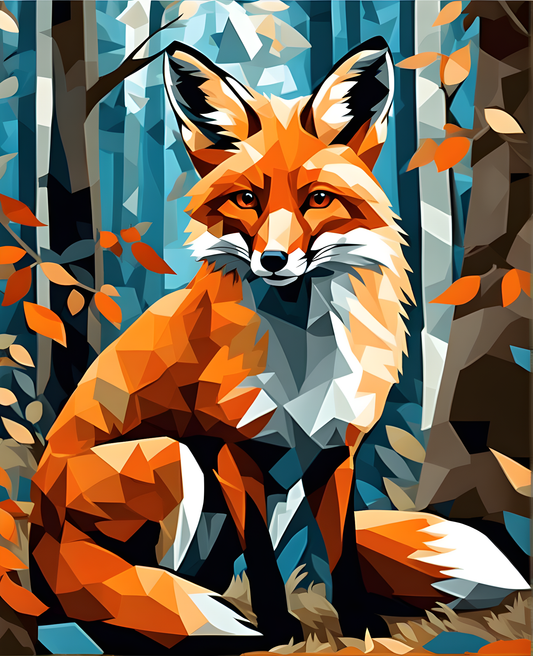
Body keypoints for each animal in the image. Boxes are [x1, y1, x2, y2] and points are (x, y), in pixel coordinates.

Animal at [29, 38, 529, 653]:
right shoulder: (233, 450)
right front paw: (278, 633)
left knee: (200, 579)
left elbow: (342, 555)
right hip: (178, 458)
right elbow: (264, 564)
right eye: (246, 198)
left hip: (265, 493)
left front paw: (362, 630)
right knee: (138, 592)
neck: (302, 357)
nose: (272, 260)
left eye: (318, 199)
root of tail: (41, 542)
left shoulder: (332, 452)